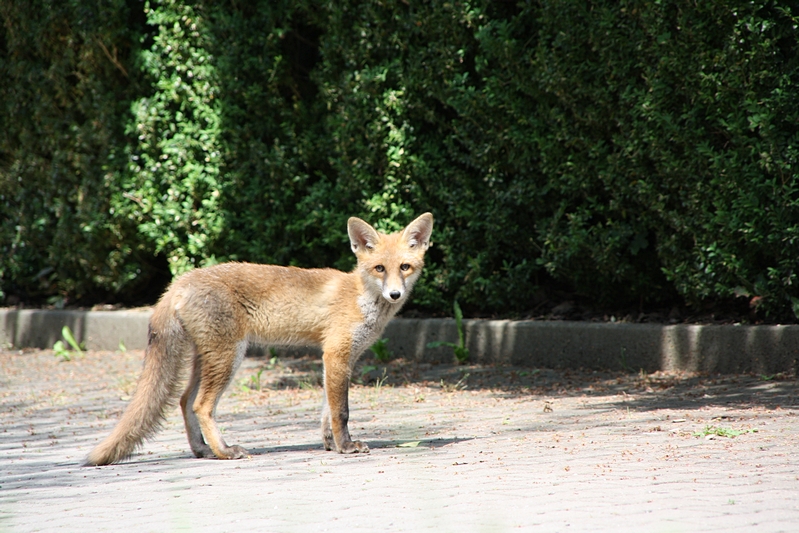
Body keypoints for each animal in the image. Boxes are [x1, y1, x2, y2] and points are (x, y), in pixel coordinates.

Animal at [84, 213, 433, 466]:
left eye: (405, 267)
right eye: (379, 268)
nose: (395, 294)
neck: (361, 297)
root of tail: (180, 281)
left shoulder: (337, 359)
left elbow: (327, 411)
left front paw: (331, 445)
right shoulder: (335, 354)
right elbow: (341, 411)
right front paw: (346, 447)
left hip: (208, 358)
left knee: (184, 401)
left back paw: (203, 450)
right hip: (229, 357)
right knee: (201, 405)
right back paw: (225, 451)